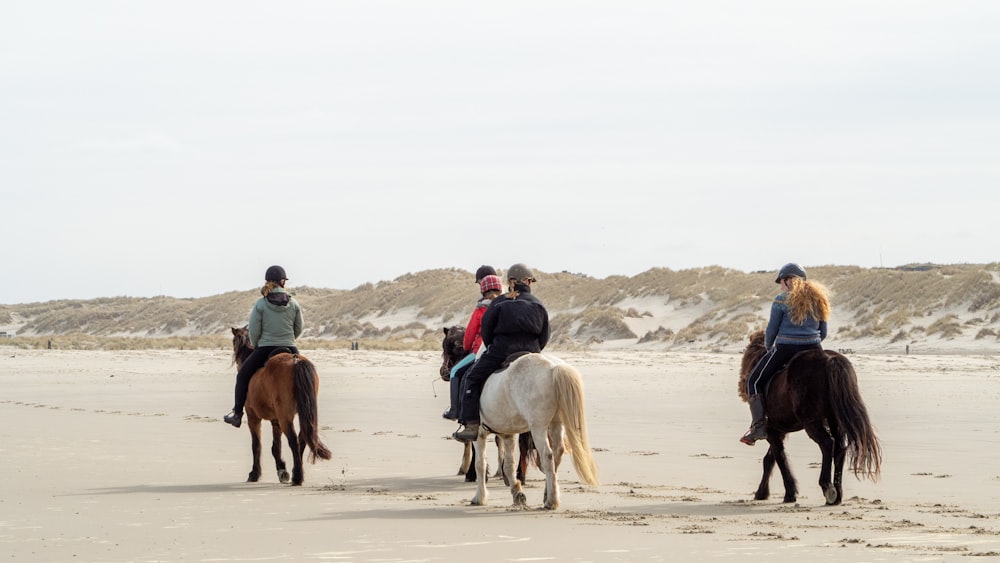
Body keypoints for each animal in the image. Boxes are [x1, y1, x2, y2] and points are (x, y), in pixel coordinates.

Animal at [231, 328, 332, 486]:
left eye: (233, 341)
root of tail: (296, 360)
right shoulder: (275, 420)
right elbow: (276, 447)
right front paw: (282, 470)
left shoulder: (253, 417)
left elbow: (256, 445)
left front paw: (254, 474)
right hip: (301, 413)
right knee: (302, 437)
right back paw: (297, 471)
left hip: (284, 416)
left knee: (293, 439)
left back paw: (297, 477)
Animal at [470, 356, 600, 512]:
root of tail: (554, 367)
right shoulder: (508, 435)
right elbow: (509, 465)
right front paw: (517, 493)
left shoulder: (479, 435)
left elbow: (480, 464)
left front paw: (479, 497)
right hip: (556, 423)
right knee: (557, 452)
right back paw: (547, 494)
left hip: (538, 427)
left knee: (547, 455)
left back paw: (551, 501)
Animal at [736, 330, 884, 506]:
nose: (742, 383)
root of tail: (830, 360)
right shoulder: (779, 430)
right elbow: (771, 459)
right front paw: (763, 492)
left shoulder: (772, 430)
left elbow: (779, 458)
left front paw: (789, 493)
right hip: (834, 420)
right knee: (840, 447)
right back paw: (837, 493)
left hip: (812, 422)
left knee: (827, 443)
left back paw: (827, 487)